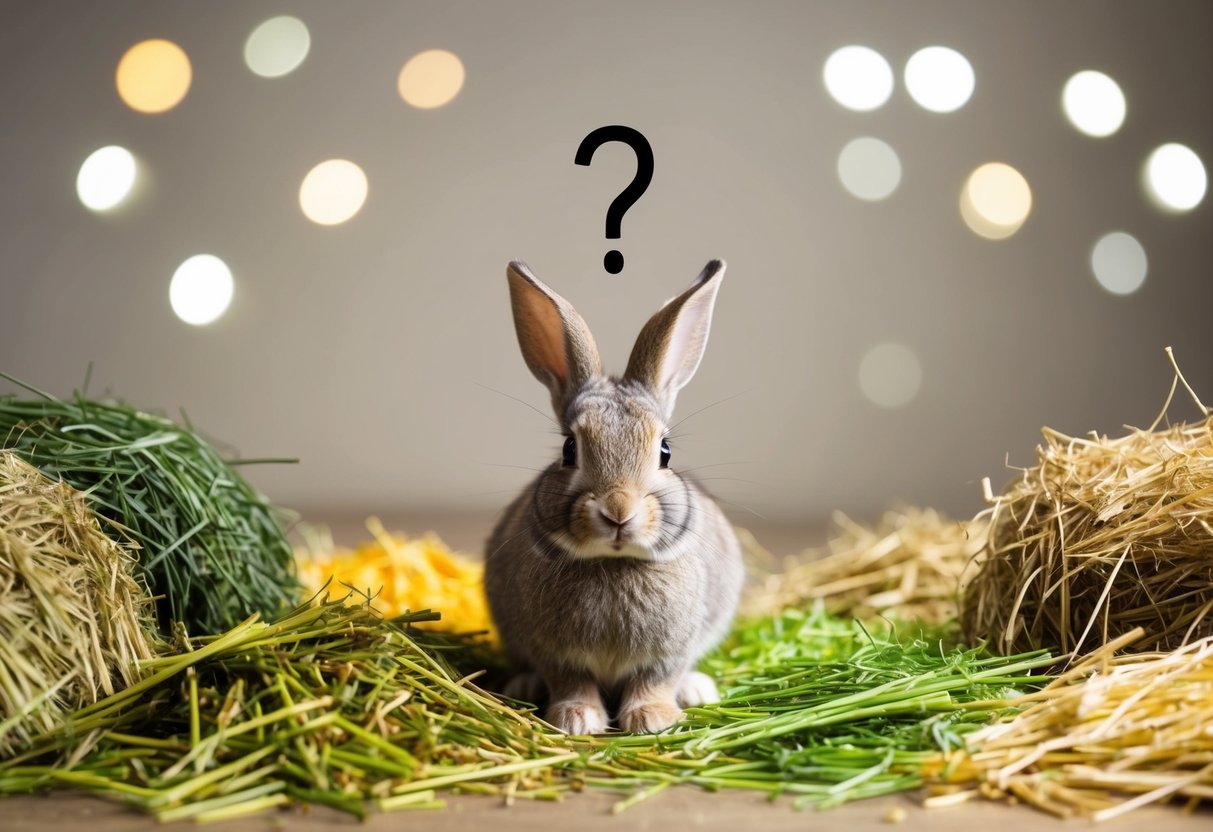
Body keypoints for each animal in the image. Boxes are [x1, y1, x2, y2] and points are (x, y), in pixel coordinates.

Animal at [484, 259, 744, 735]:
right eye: (569, 449)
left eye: (665, 452)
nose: (619, 511)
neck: (613, 563)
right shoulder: (555, 653)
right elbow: (571, 681)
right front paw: (576, 719)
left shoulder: (668, 653)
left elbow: (655, 680)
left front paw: (653, 719)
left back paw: (696, 690)